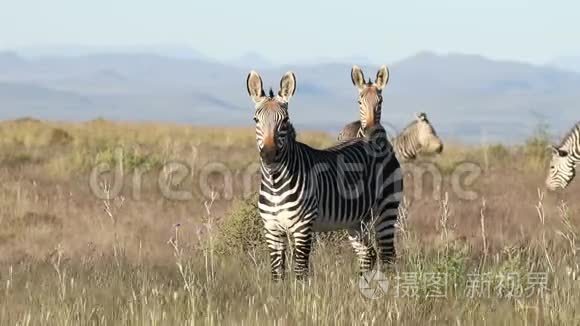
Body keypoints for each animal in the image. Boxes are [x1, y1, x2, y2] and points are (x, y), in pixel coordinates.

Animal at [248, 70, 404, 278]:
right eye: (256, 120)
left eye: (285, 121)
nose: (269, 155)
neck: (276, 183)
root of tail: (376, 140)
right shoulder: (272, 230)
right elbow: (276, 274)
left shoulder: (303, 227)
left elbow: (300, 272)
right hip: (357, 221)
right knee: (368, 254)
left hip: (387, 209)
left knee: (387, 256)